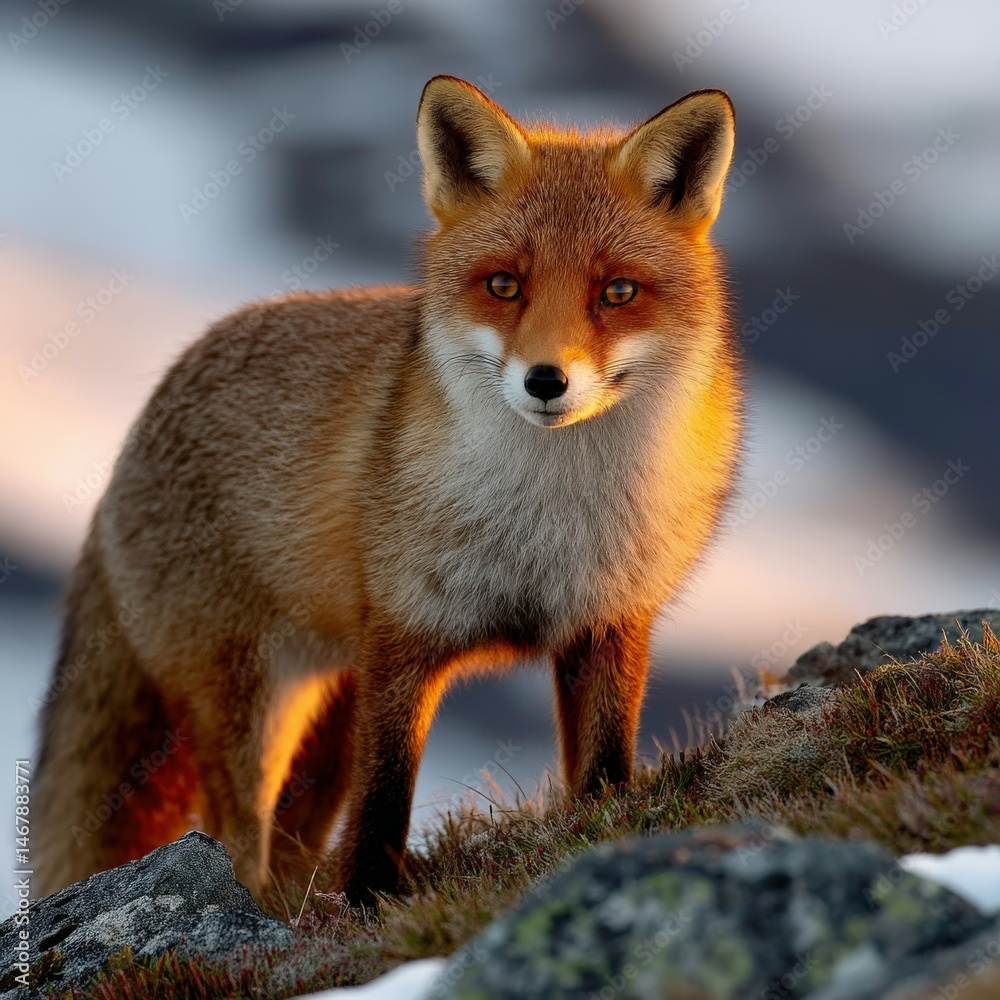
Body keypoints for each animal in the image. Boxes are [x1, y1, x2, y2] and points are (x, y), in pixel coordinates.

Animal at [32, 76, 742, 906]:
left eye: (618, 291)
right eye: (505, 285)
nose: (545, 380)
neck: (550, 518)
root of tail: (136, 426)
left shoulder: (607, 623)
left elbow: (601, 772)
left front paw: (604, 833)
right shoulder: (404, 640)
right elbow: (387, 793)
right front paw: (373, 894)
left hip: (329, 713)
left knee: (292, 846)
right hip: (251, 705)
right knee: (239, 833)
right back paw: (252, 904)